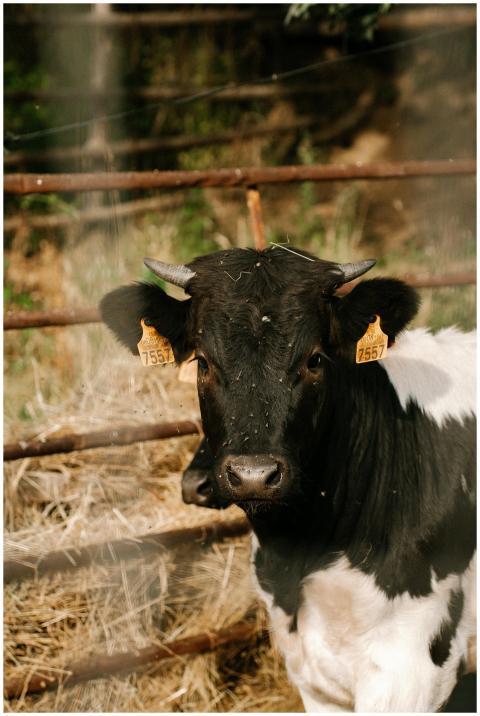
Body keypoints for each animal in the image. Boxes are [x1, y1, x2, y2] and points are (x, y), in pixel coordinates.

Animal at [100, 246, 476, 713]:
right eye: (202, 361)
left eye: (315, 359)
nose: (254, 475)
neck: (299, 554)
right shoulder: (311, 674)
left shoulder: (411, 672)